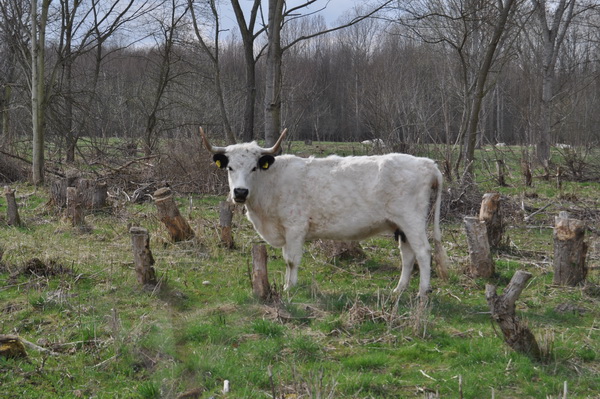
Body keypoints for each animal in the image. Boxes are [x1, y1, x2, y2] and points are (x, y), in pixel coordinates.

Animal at [199, 128, 448, 296]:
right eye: (230, 168)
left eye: (254, 167)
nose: (240, 192)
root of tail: (427, 163)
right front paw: (288, 285)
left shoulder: (295, 227)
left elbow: (291, 260)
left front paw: (289, 288)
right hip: (400, 226)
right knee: (407, 255)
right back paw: (399, 290)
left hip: (412, 221)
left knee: (423, 252)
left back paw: (422, 292)